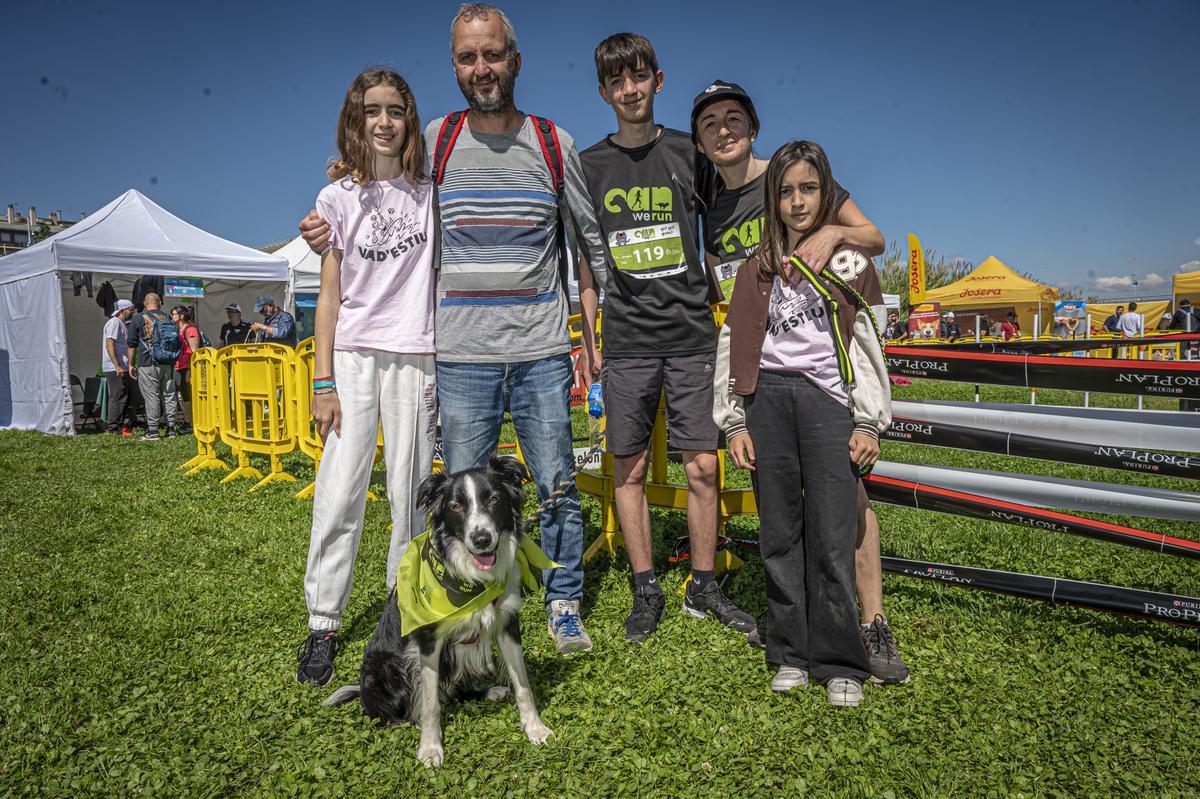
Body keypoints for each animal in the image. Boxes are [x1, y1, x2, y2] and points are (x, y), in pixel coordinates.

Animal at [326, 453, 554, 767]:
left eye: (493, 499)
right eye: (456, 506)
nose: (481, 539)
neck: (472, 582)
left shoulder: (507, 624)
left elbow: (523, 684)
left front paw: (535, 729)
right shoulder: (427, 642)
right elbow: (431, 703)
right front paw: (431, 748)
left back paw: (490, 692)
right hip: (385, 666)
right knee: (398, 711)